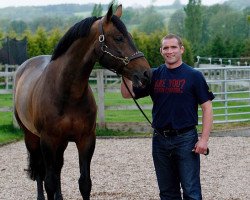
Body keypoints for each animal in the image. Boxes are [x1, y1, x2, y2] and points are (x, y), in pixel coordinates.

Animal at [14, 4, 150, 200]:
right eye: (119, 37)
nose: (146, 73)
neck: (67, 93)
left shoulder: (86, 140)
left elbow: (84, 183)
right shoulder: (48, 141)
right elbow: (49, 182)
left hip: (61, 143)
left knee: (58, 167)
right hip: (31, 137)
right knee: (40, 171)